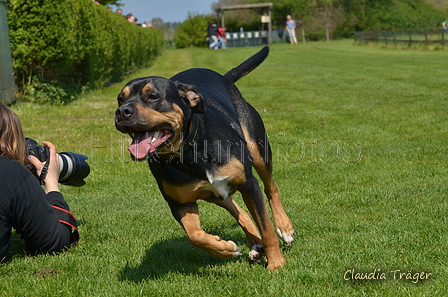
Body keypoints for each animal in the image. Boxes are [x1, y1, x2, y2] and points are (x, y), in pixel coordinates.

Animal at [114, 46, 294, 270]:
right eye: (120, 98)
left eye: (153, 96)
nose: (121, 111)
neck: (190, 151)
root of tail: (224, 78)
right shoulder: (180, 202)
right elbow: (195, 235)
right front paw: (224, 249)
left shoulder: (249, 184)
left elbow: (266, 227)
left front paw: (276, 263)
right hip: (215, 192)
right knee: (237, 209)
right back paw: (254, 245)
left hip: (258, 150)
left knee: (271, 188)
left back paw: (284, 227)